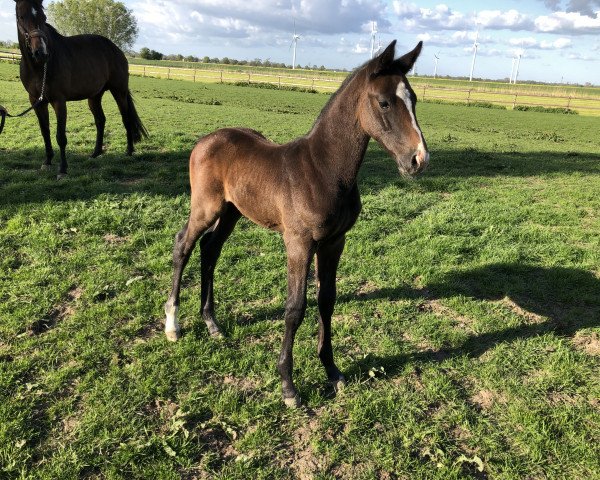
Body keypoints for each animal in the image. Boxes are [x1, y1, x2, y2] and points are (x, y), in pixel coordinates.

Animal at [13, 0, 147, 178]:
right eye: (21, 16)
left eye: (43, 17)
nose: (40, 53)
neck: (39, 67)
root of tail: (116, 49)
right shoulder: (36, 101)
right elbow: (45, 131)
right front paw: (47, 162)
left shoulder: (59, 101)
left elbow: (60, 136)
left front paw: (63, 170)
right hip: (94, 96)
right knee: (100, 120)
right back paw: (95, 153)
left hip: (119, 91)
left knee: (125, 118)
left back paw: (129, 151)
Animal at [162, 42, 428, 408]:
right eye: (385, 102)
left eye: (414, 98)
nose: (418, 160)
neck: (325, 170)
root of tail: (206, 140)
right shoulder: (299, 243)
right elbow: (295, 309)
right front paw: (288, 386)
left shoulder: (334, 242)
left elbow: (326, 300)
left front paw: (332, 370)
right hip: (206, 207)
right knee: (183, 246)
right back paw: (172, 325)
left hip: (232, 211)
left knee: (209, 249)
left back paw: (212, 324)